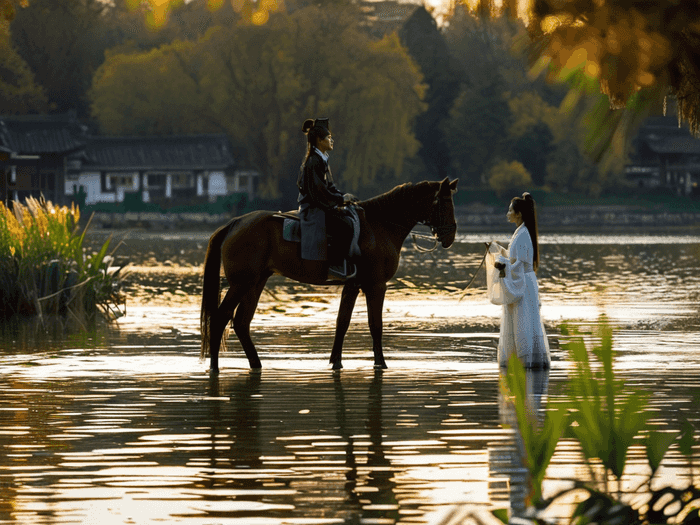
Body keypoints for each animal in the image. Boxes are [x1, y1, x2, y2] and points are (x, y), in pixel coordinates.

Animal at [200, 177, 460, 372]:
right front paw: (380, 363)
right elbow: (375, 324)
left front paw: (336, 361)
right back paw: (215, 366)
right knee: (221, 318)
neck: (379, 226)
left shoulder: (353, 285)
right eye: (445, 203)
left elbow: (342, 322)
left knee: (241, 322)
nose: (450, 236)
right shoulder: (376, 285)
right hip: (241, 284)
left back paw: (256, 364)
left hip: (255, 282)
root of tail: (236, 222)